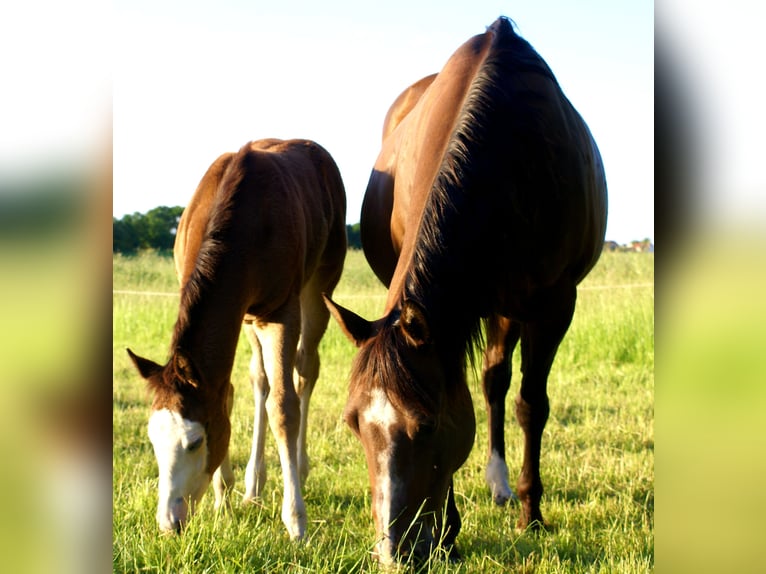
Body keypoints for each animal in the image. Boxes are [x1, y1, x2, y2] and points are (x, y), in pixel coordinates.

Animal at [127, 138, 347, 540]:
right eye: (152, 440)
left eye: (195, 442)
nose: (169, 523)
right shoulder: (236, 312)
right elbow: (225, 394)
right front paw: (223, 498)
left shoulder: (281, 312)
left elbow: (284, 408)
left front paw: (296, 522)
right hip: (248, 319)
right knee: (259, 379)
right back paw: (252, 487)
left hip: (319, 285)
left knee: (305, 370)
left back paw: (300, 471)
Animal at [324, 17, 607, 563]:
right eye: (353, 423)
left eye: (427, 425)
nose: (393, 554)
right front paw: (449, 534)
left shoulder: (553, 306)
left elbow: (529, 405)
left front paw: (530, 515)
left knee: (499, 382)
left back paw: (504, 487)